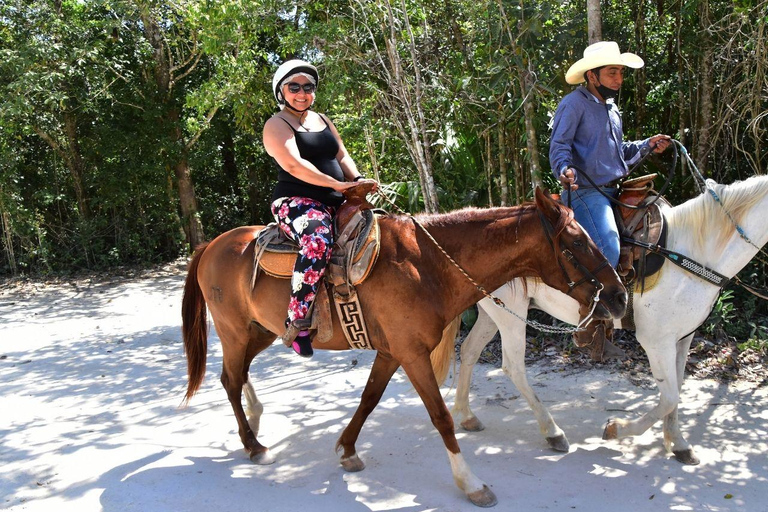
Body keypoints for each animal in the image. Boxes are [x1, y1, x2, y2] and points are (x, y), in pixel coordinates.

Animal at [183, 186, 628, 506]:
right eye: (575, 244)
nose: (620, 296)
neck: (429, 265)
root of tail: (210, 246)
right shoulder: (412, 355)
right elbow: (441, 417)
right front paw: (471, 482)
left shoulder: (391, 352)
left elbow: (369, 399)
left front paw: (347, 449)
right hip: (235, 329)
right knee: (229, 378)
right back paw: (253, 444)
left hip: (263, 330)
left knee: (238, 373)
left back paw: (256, 419)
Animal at [450, 175, 768, 464]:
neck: (690, 255)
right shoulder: (657, 342)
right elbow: (670, 397)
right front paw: (617, 429)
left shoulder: (682, 338)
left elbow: (676, 390)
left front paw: (677, 443)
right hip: (510, 313)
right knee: (513, 367)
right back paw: (553, 432)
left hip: (492, 311)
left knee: (469, 350)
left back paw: (466, 415)